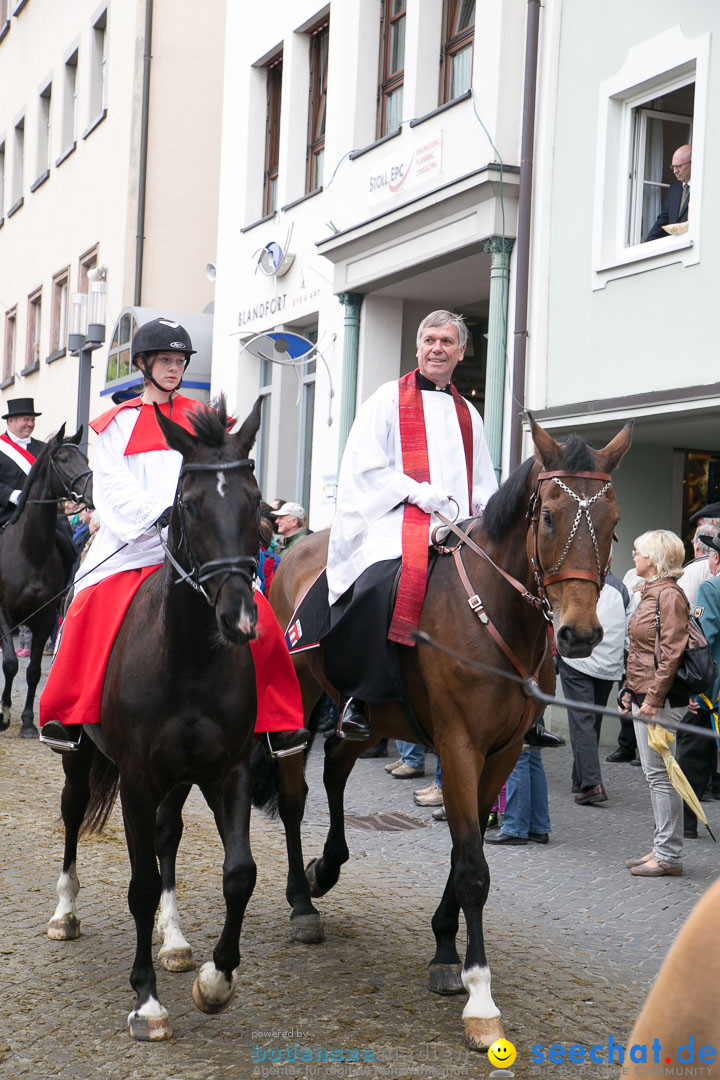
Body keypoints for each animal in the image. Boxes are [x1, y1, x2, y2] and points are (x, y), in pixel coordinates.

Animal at [0, 425, 92, 738]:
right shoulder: (2, 613)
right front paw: (4, 714)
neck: (30, 553)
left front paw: (28, 721)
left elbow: (33, 671)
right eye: (62, 459)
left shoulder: (44, 618)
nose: (91, 493)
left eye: (85, 458)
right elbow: (10, 662)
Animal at [46, 401, 321, 1041]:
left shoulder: (229, 770)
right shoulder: (138, 777)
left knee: (168, 835)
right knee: (73, 813)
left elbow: (238, 873)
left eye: (255, 501)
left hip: (180, 777)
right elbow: (141, 882)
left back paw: (173, 941)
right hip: (82, 756)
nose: (239, 617)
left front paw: (216, 982)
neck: (190, 659)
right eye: (189, 505)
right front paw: (146, 1000)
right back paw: (66, 911)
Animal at [268, 416, 630, 1049]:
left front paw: (444, 950)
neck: (496, 615)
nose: (580, 633)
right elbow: (473, 868)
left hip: (368, 715)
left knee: (335, 762)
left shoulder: (500, 752)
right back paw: (301, 903)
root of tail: (298, 550)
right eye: (550, 515)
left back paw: (327, 867)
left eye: (612, 522)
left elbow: (471, 846)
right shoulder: (460, 745)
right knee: (294, 792)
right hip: (301, 694)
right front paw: (480, 996)